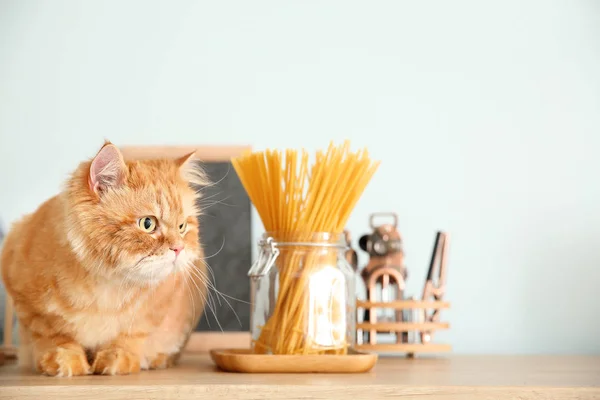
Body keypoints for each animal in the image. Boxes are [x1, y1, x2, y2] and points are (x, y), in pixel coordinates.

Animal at [0, 142, 209, 376]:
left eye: (182, 227)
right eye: (147, 223)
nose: (178, 248)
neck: (108, 284)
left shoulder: (156, 309)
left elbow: (130, 336)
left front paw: (117, 360)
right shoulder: (28, 304)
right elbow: (54, 335)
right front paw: (63, 361)